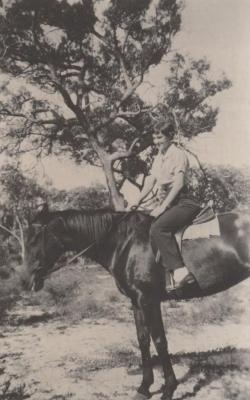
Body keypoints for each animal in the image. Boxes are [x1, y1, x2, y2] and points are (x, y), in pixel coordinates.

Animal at [20, 206, 250, 400]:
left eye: (35, 239)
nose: (25, 281)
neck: (125, 243)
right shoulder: (136, 301)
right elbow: (143, 340)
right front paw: (144, 387)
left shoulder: (148, 300)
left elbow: (160, 341)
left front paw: (169, 389)